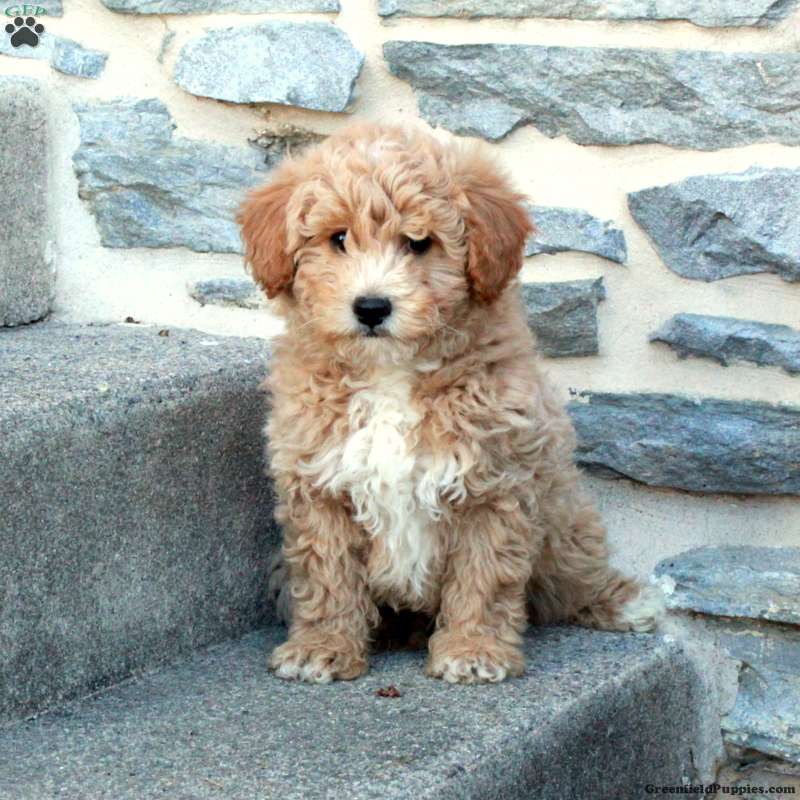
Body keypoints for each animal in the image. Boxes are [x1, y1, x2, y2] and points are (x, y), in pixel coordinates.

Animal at [237, 123, 661, 685]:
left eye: (420, 243)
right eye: (338, 239)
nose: (371, 307)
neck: (391, 374)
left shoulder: (495, 482)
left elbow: (484, 574)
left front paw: (472, 649)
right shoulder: (319, 484)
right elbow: (327, 575)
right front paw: (322, 647)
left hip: (561, 509)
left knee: (572, 571)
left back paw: (621, 601)